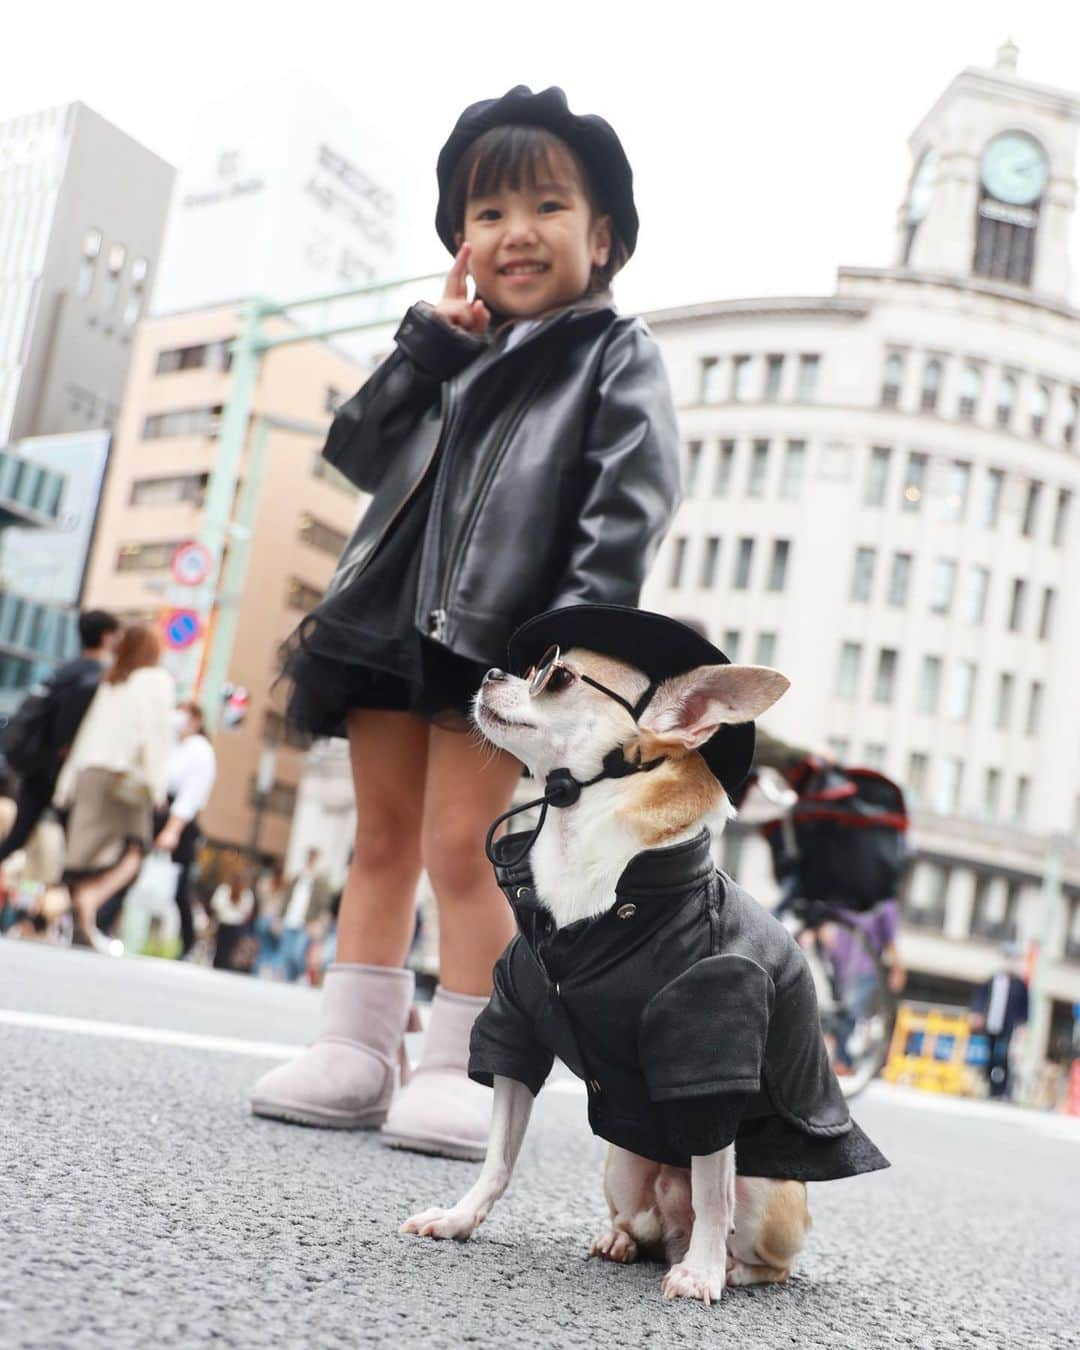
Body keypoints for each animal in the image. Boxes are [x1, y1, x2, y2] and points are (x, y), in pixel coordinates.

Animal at [405, 645, 874, 1306]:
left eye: (557, 679)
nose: (492, 672)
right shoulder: (515, 1029)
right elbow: (498, 1156)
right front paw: (459, 1217)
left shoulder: (707, 1058)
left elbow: (714, 1192)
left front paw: (702, 1274)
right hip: (624, 1164)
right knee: (645, 1227)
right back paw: (622, 1242)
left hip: (767, 1195)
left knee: (753, 1244)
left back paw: (724, 1266)